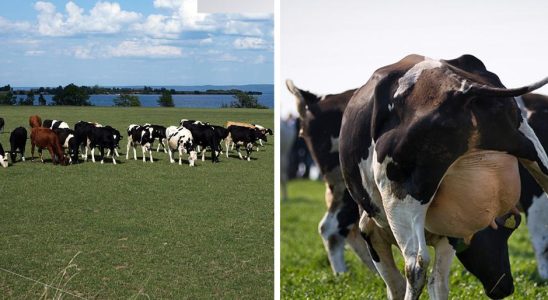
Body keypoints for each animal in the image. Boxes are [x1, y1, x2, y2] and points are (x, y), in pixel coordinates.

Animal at [338, 54, 548, 300]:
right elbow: (438, 283)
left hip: (400, 195)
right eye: (504, 235)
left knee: (416, 263)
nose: (505, 287)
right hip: (536, 155)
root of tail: (462, 86)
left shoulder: (370, 230)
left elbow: (396, 284)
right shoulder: (449, 234)